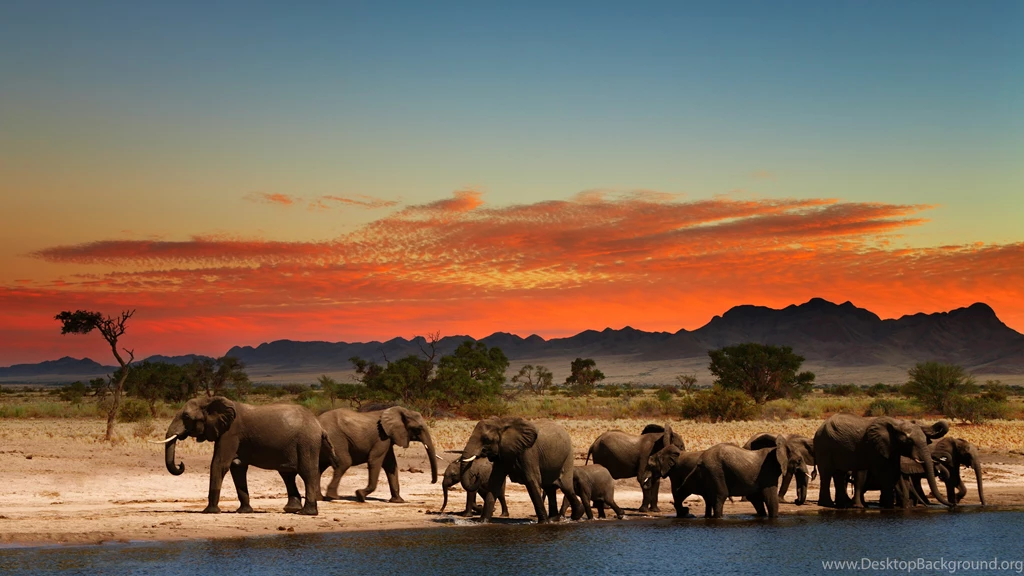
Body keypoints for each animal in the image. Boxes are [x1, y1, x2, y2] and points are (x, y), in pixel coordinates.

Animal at [158, 396, 337, 515]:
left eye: (186, 417)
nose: (181, 464)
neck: (210, 400)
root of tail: (319, 426)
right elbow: (237, 468)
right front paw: (244, 511)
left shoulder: (230, 433)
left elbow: (220, 464)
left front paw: (209, 511)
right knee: (287, 474)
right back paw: (291, 510)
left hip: (307, 442)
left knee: (307, 473)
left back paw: (307, 513)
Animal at [814, 414, 950, 509]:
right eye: (909, 442)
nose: (952, 504)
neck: (896, 423)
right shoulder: (875, 446)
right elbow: (886, 473)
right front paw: (889, 506)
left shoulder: (891, 448)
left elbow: (895, 472)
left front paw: (898, 507)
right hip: (823, 446)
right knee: (826, 473)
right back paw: (828, 504)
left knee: (839, 474)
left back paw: (842, 505)